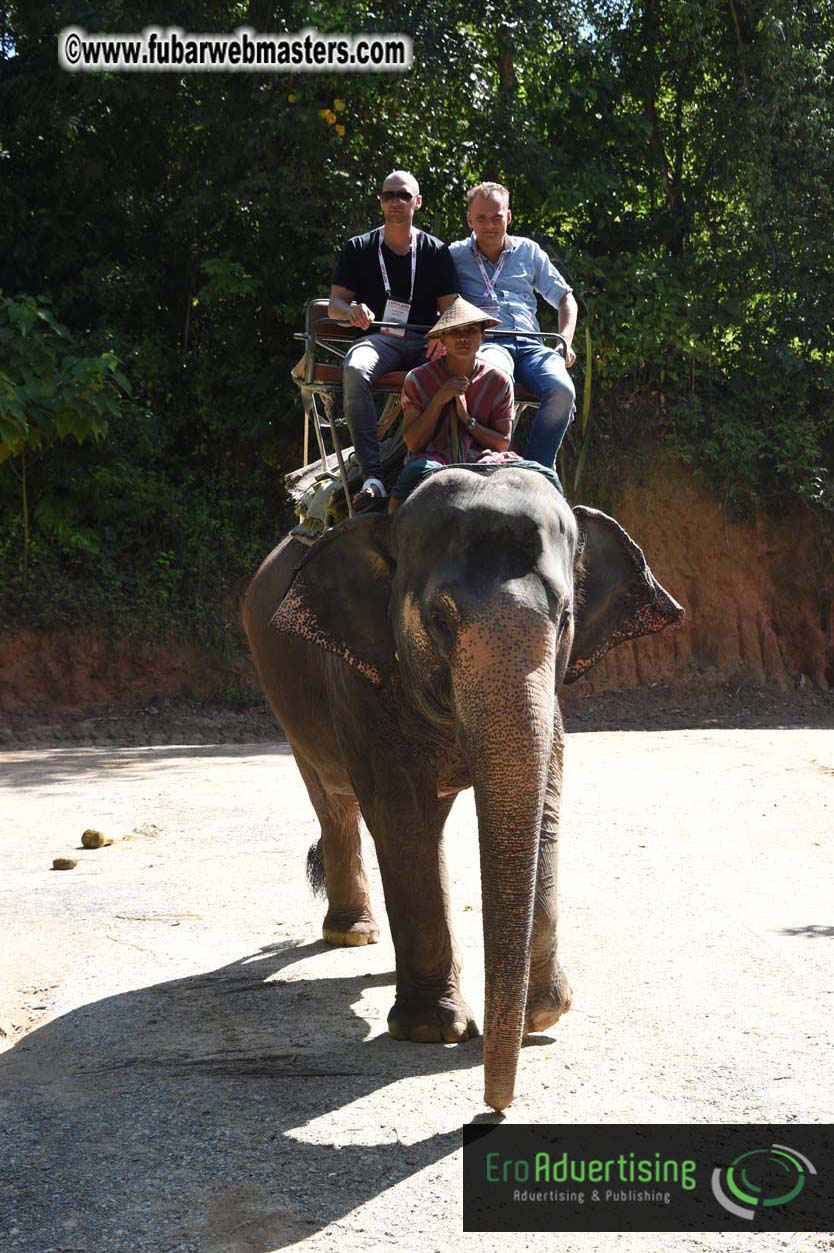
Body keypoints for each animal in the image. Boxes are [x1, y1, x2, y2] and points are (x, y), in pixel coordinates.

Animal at [243, 464, 683, 1113]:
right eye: (441, 621)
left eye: (565, 617)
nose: (494, 1106)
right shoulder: (361, 678)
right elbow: (401, 816)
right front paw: (434, 1031)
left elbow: (544, 807)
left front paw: (539, 1017)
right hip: (286, 696)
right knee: (336, 804)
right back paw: (353, 934)